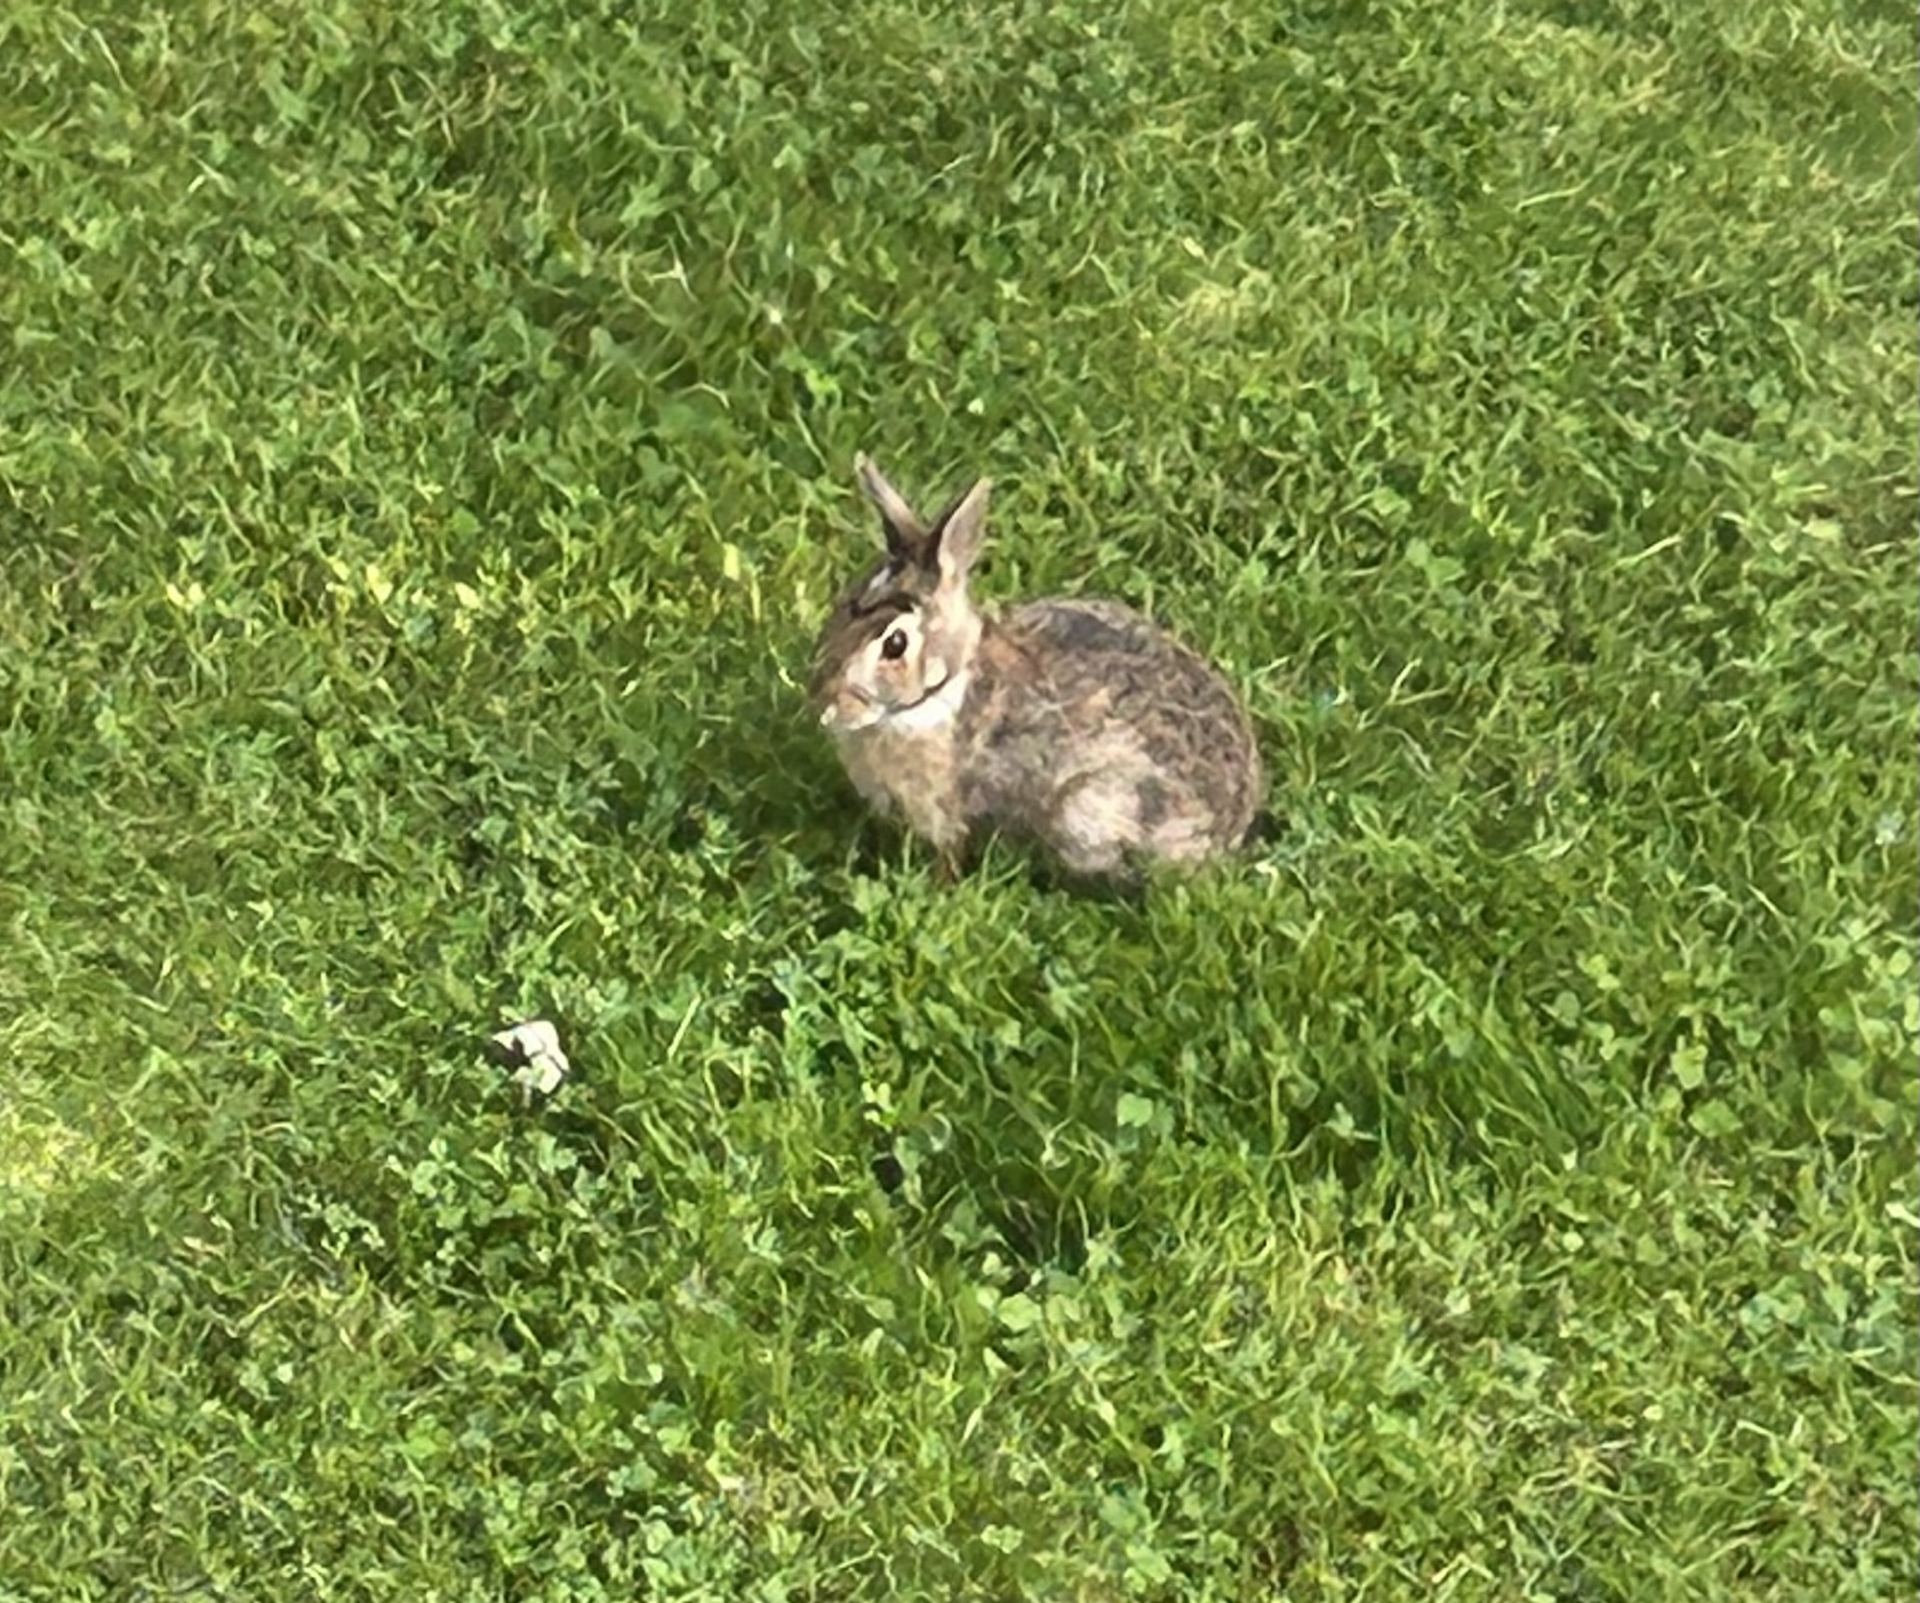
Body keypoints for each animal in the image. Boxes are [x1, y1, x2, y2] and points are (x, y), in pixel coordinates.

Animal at [808, 454, 1264, 880]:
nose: (824, 703)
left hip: (1089, 809)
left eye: (895, 644)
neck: (944, 690)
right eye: (846, 602)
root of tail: (1231, 827)